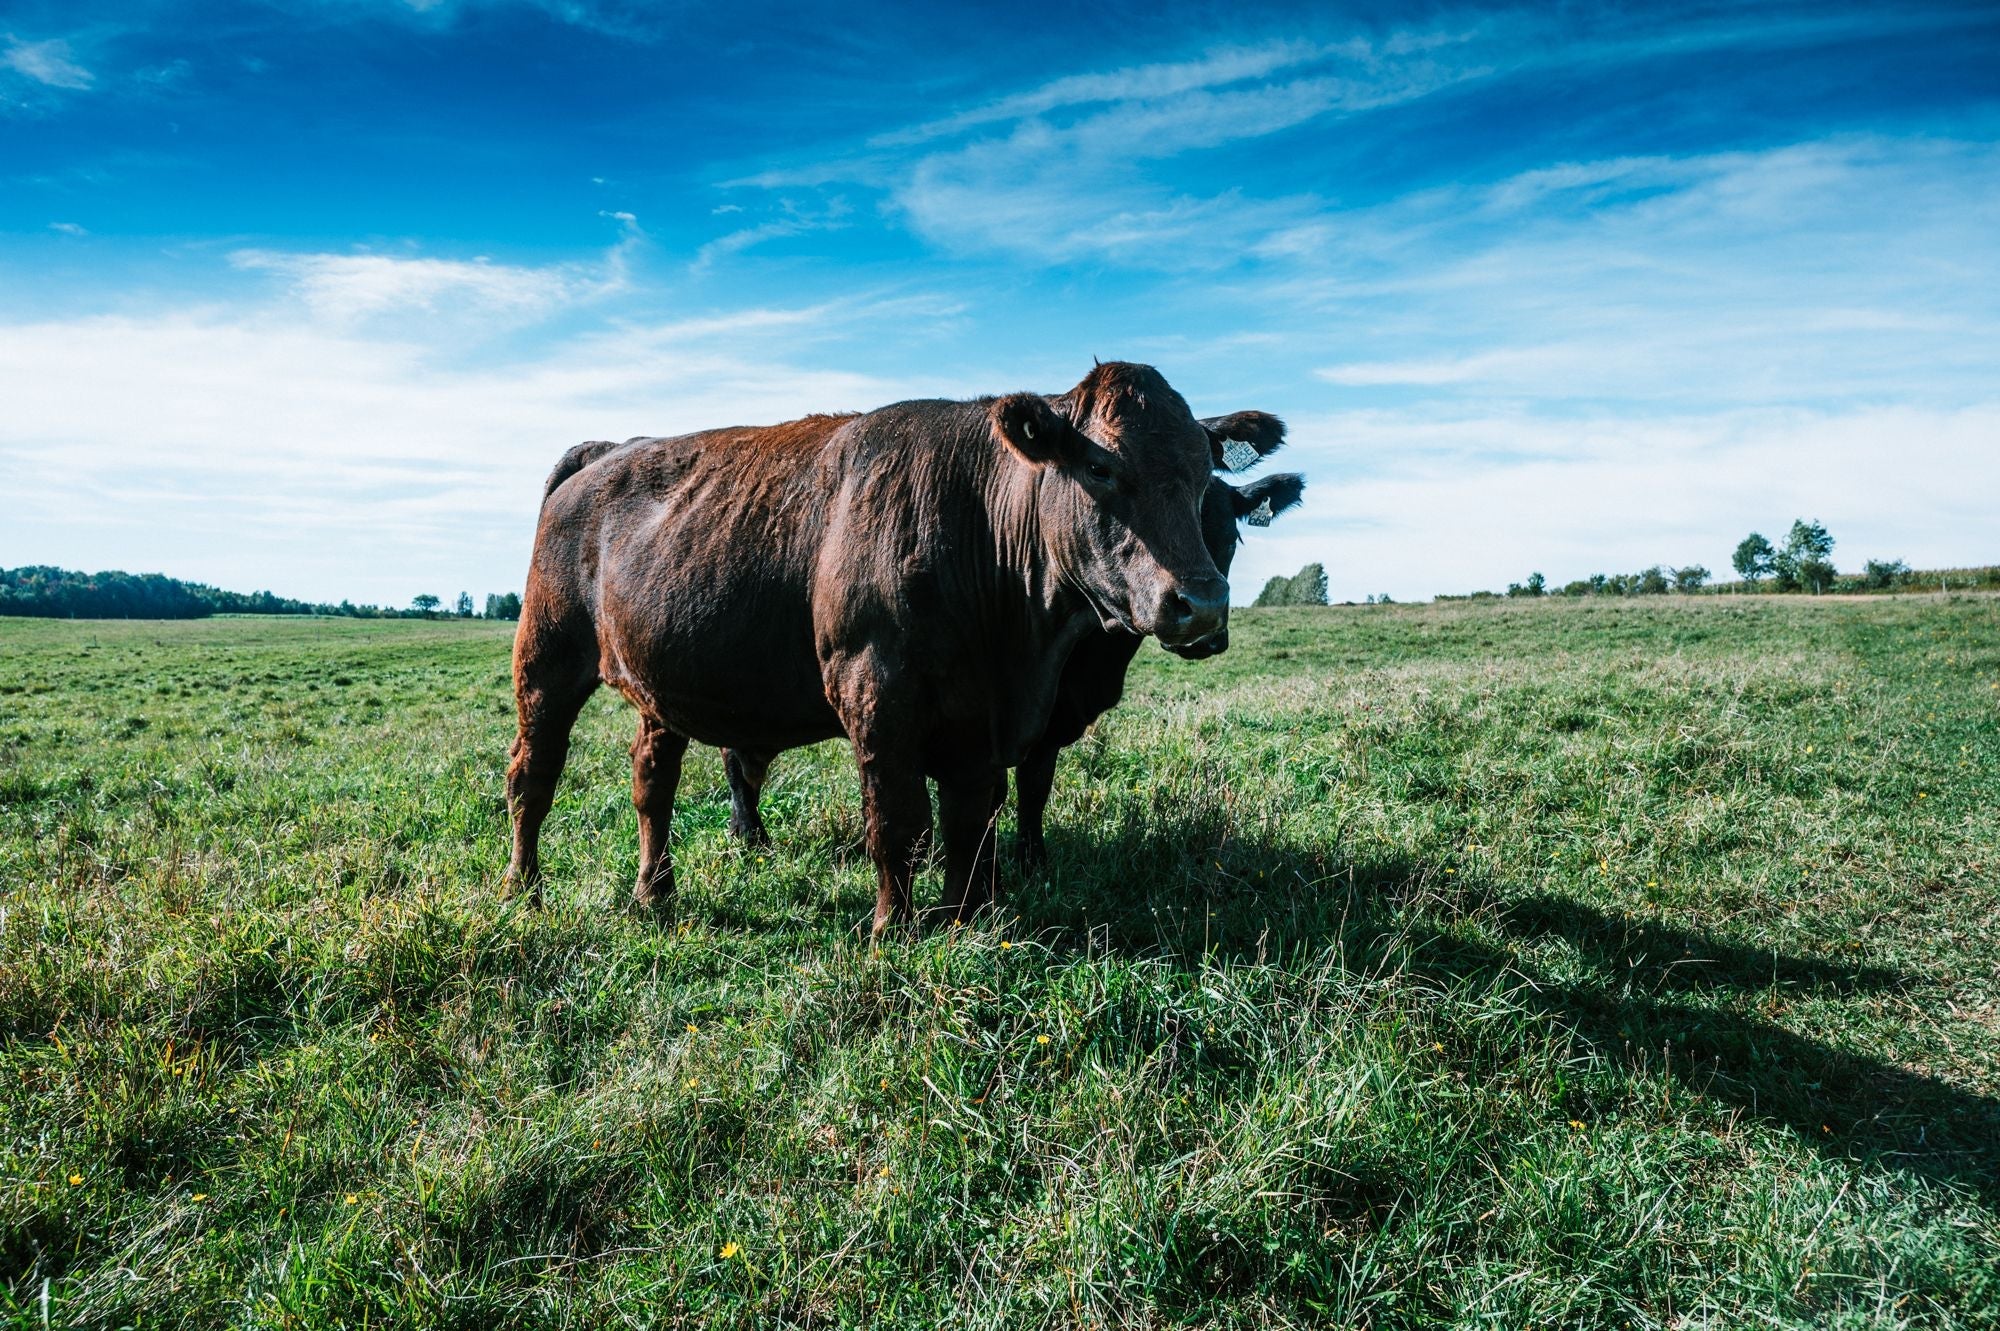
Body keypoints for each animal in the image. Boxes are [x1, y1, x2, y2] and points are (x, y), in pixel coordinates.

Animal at [508, 357, 1272, 927]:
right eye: (1102, 468)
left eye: (1202, 475)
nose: (1201, 603)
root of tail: (606, 452)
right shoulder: (876, 694)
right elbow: (897, 820)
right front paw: (891, 929)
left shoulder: (981, 723)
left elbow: (973, 822)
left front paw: (967, 921)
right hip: (546, 662)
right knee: (532, 775)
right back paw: (523, 888)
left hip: (658, 688)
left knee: (652, 782)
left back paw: (655, 893)